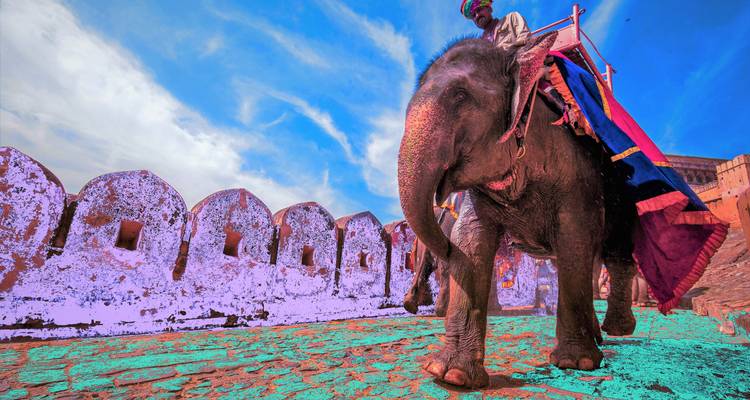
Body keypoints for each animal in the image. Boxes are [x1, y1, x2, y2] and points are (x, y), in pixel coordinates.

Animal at [397, 32, 638, 388]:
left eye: (460, 95)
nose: (445, 246)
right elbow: (471, 241)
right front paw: (451, 375)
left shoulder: (577, 175)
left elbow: (575, 238)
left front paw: (576, 363)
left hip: (620, 185)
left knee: (613, 253)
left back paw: (617, 330)